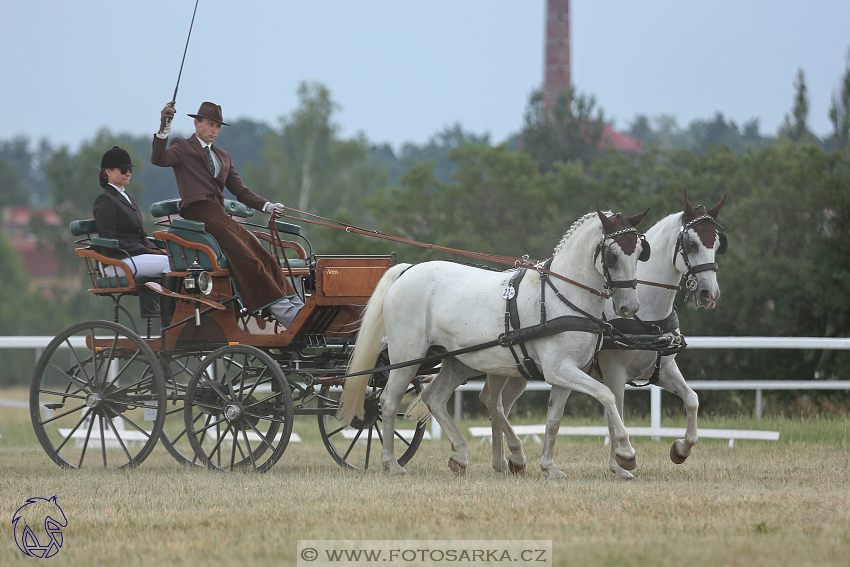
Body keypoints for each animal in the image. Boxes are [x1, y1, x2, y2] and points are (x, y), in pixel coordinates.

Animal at [338, 209, 648, 474]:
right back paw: (392, 463)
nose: (629, 307)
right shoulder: (558, 369)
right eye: (612, 255)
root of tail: (408, 271)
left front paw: (549, 466)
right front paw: (626, 454)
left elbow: (553, 420)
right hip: (406, 357)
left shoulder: (567, 372)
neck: (562, 295)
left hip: (456, 361)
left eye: (639, 253)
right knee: (389, 402)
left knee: (434, 398)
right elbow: (607, 394)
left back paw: (461, 455)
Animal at [480, 194, 724, 480]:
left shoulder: (662, 369)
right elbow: (614, 413)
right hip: (500, 367)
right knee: (493, 402)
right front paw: (620, 462)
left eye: (717, 244)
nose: (710, 294)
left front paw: (681, 449)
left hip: (519, 371)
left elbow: (692, 400)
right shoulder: (614, 372)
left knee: (500, 405)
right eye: (691, 244)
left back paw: (503, 461)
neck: (646, 317)